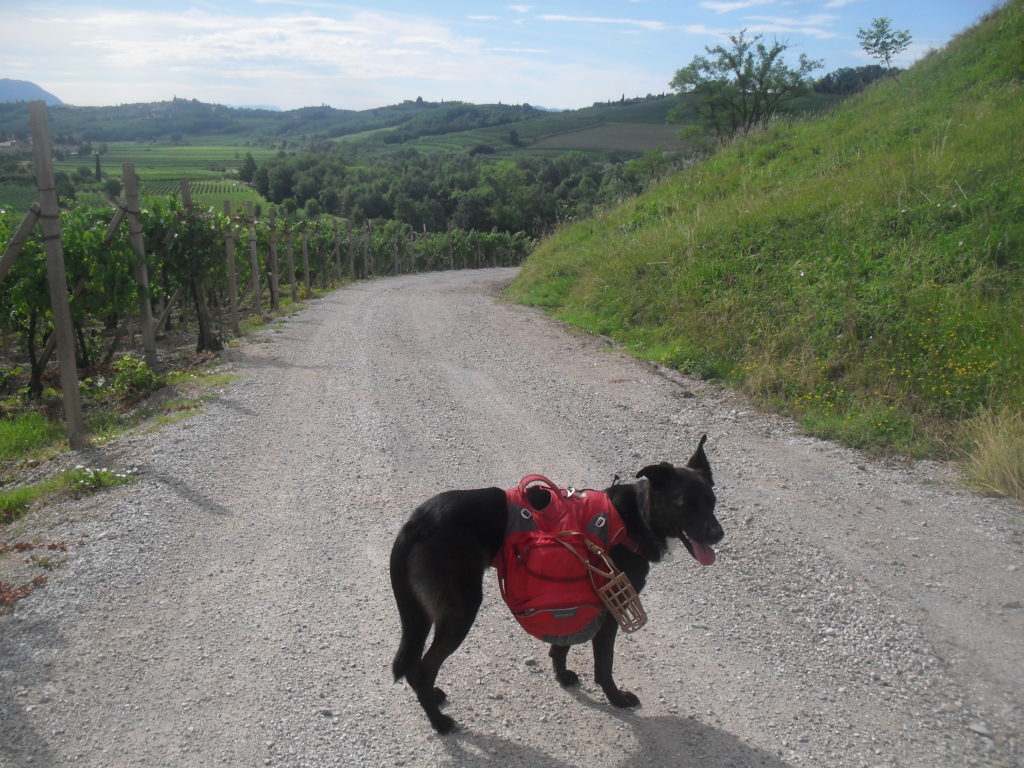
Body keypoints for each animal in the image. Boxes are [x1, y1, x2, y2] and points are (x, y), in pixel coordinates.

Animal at [387, 436, 724, 737]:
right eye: (684, 504)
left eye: (712, 501)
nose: (718, 534)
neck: (635, 518)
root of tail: (416, 522)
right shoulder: (610, 612)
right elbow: (604, 664)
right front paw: (616, 698)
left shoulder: (572, 601)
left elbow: (561, 645)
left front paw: (562, 677)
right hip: (461, 610)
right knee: (423, 669)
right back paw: (439, 722)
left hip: (426, 613)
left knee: (417, 665)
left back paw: (433, 697)